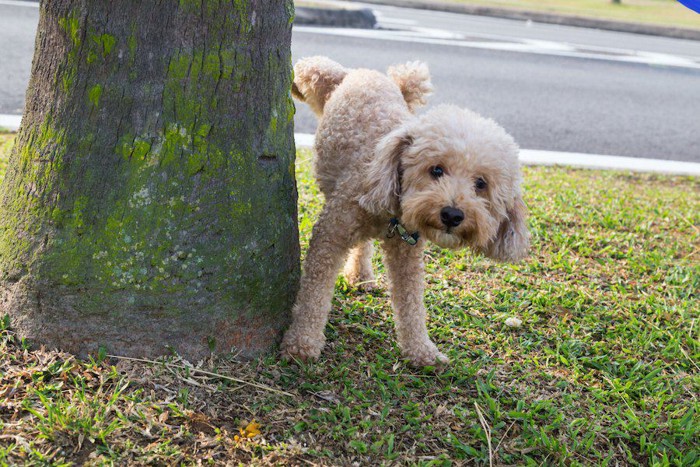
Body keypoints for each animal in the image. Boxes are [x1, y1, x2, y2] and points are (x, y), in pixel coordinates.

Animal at [282, 56, 528, 368]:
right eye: (436, 170)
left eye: (481, 184)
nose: (452, 215)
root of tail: (363, 73)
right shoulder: (331, 233)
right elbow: (314, 293)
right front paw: (302, 342)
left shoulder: (407, 252)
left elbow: (411, 303)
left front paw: (421, 350)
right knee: (312, 66)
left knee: (363, 245)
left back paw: (361, 275)